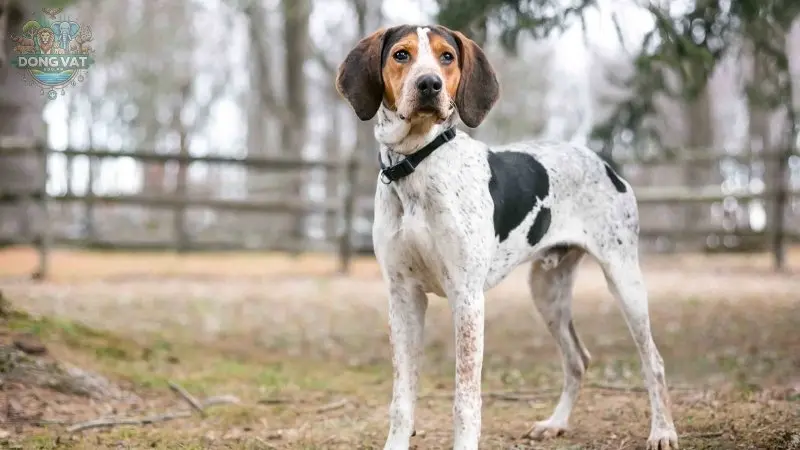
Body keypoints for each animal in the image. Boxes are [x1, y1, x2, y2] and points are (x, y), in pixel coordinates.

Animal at [334, 24, 680, 450]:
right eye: (401, 54)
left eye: (447, 56)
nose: (429, 84)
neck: (417, 164)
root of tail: (604, 164)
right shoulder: (403, 297)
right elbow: (401, 399)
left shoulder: (467, 298)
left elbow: (465, 400)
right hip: (547, 291)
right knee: (577, 360)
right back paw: (556, 422)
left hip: (624, 279)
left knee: (653, 361)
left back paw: (662, 431)